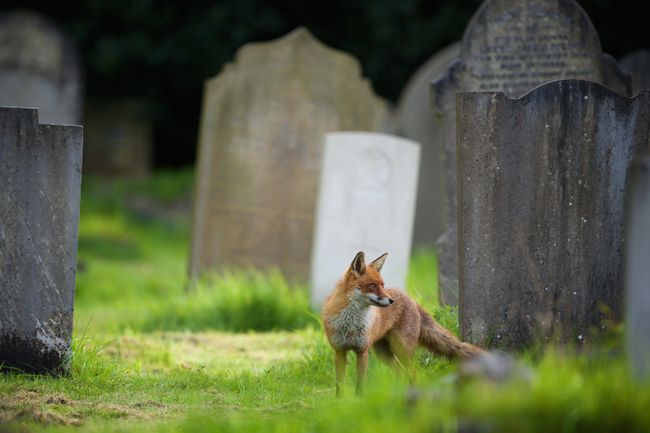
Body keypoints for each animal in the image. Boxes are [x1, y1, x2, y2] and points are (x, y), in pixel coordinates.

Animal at [320, 250, 480, 394]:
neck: (350, 323)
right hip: (384, 353)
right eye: (372, 285)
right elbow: (339, 385)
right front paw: (339, 402)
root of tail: (411, 299)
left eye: (383, 285)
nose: (391, 300)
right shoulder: (340, 351)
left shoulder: (362, 351)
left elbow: (360, 386)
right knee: (400, 372)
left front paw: (359, 401)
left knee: (413, 373)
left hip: (401, 350)